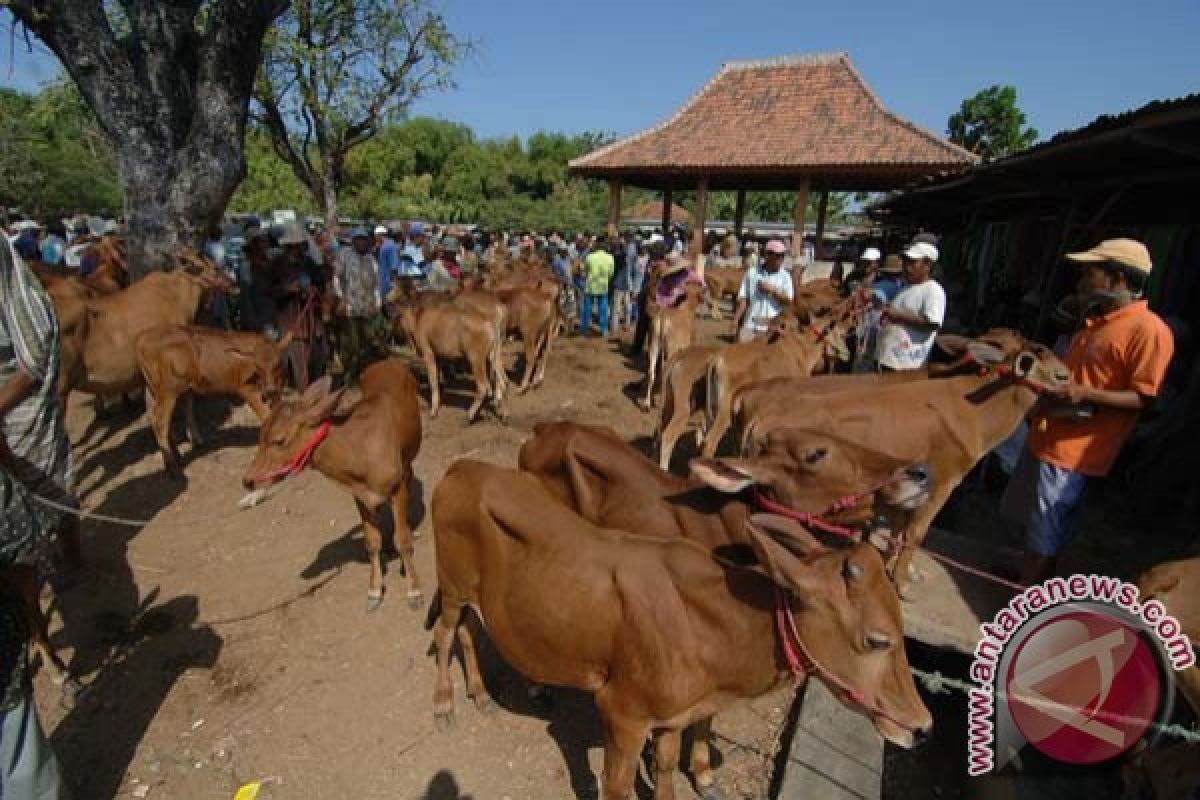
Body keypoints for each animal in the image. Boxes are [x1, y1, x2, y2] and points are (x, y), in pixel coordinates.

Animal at [136, 326, 292, 474]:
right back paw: (172, 467)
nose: (269, 389)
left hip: (158, 390)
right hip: (168, 390)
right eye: (258, 367)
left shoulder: (277, 390)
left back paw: (180, 455)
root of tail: (143, 337)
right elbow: (266, 415)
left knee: (159, 417)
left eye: (278, 364)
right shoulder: (246, 389)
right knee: (160, 422)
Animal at [241, 362, 424, 614]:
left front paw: (414, 591)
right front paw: (374, 591)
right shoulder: (360, 496)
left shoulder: (396, 488)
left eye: (279, 440)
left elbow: (403, 541)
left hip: (408, 459)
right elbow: (372, 541)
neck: (358, 451)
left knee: (410, 477)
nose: (248, 480)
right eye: (260, 435)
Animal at [434, 462, 936, 800]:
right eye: (877, 640)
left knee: (469, 630)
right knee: (444, 635)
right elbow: (616, 787)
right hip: (453, 585)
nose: (923, 727)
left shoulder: (673, 717)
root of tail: (462, 468)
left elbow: (666, 767)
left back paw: (483, 692)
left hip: (472, 594)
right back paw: (445, 704)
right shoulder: (622, 713)